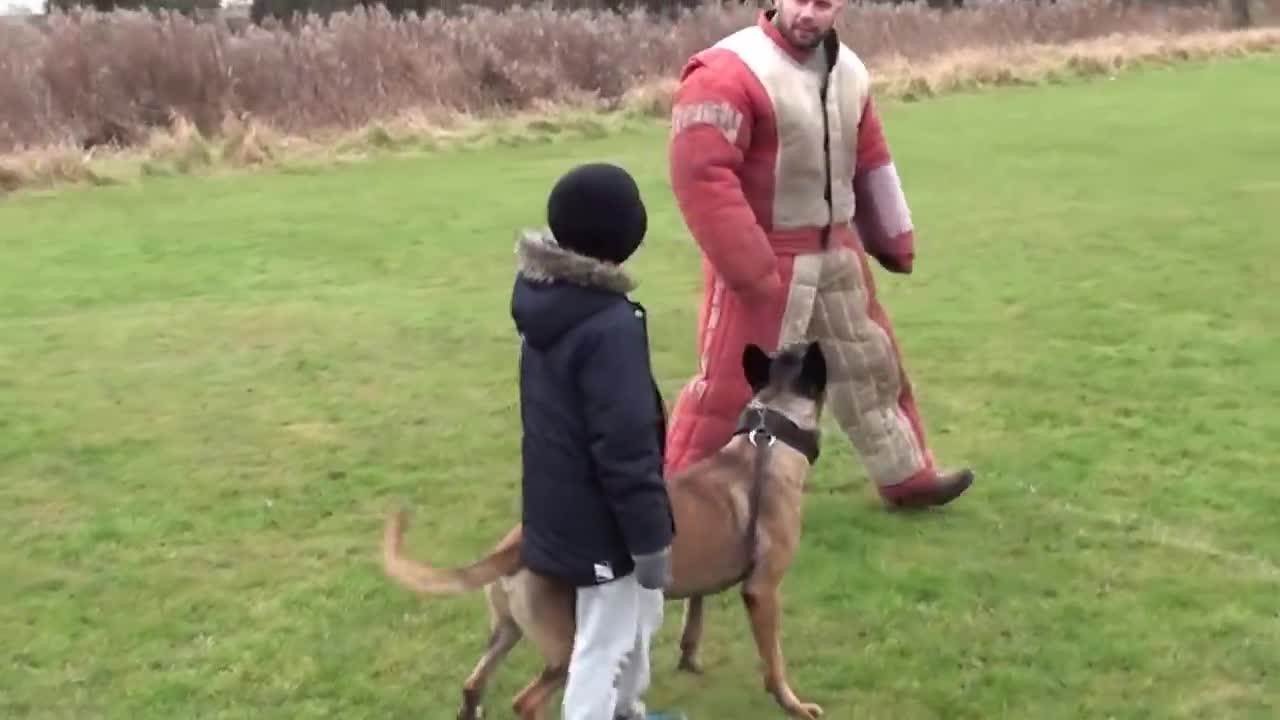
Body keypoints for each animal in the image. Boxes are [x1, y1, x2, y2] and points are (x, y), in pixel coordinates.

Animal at [378, 338, 829, 712]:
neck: (767, 446)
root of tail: (516, 545)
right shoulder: (762, 592)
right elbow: (774, 662)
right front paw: (793, 704)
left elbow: (693, 618)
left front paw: (689, 659)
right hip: (567, 650)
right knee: (527, 702)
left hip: (507, 631)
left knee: (473, 685)